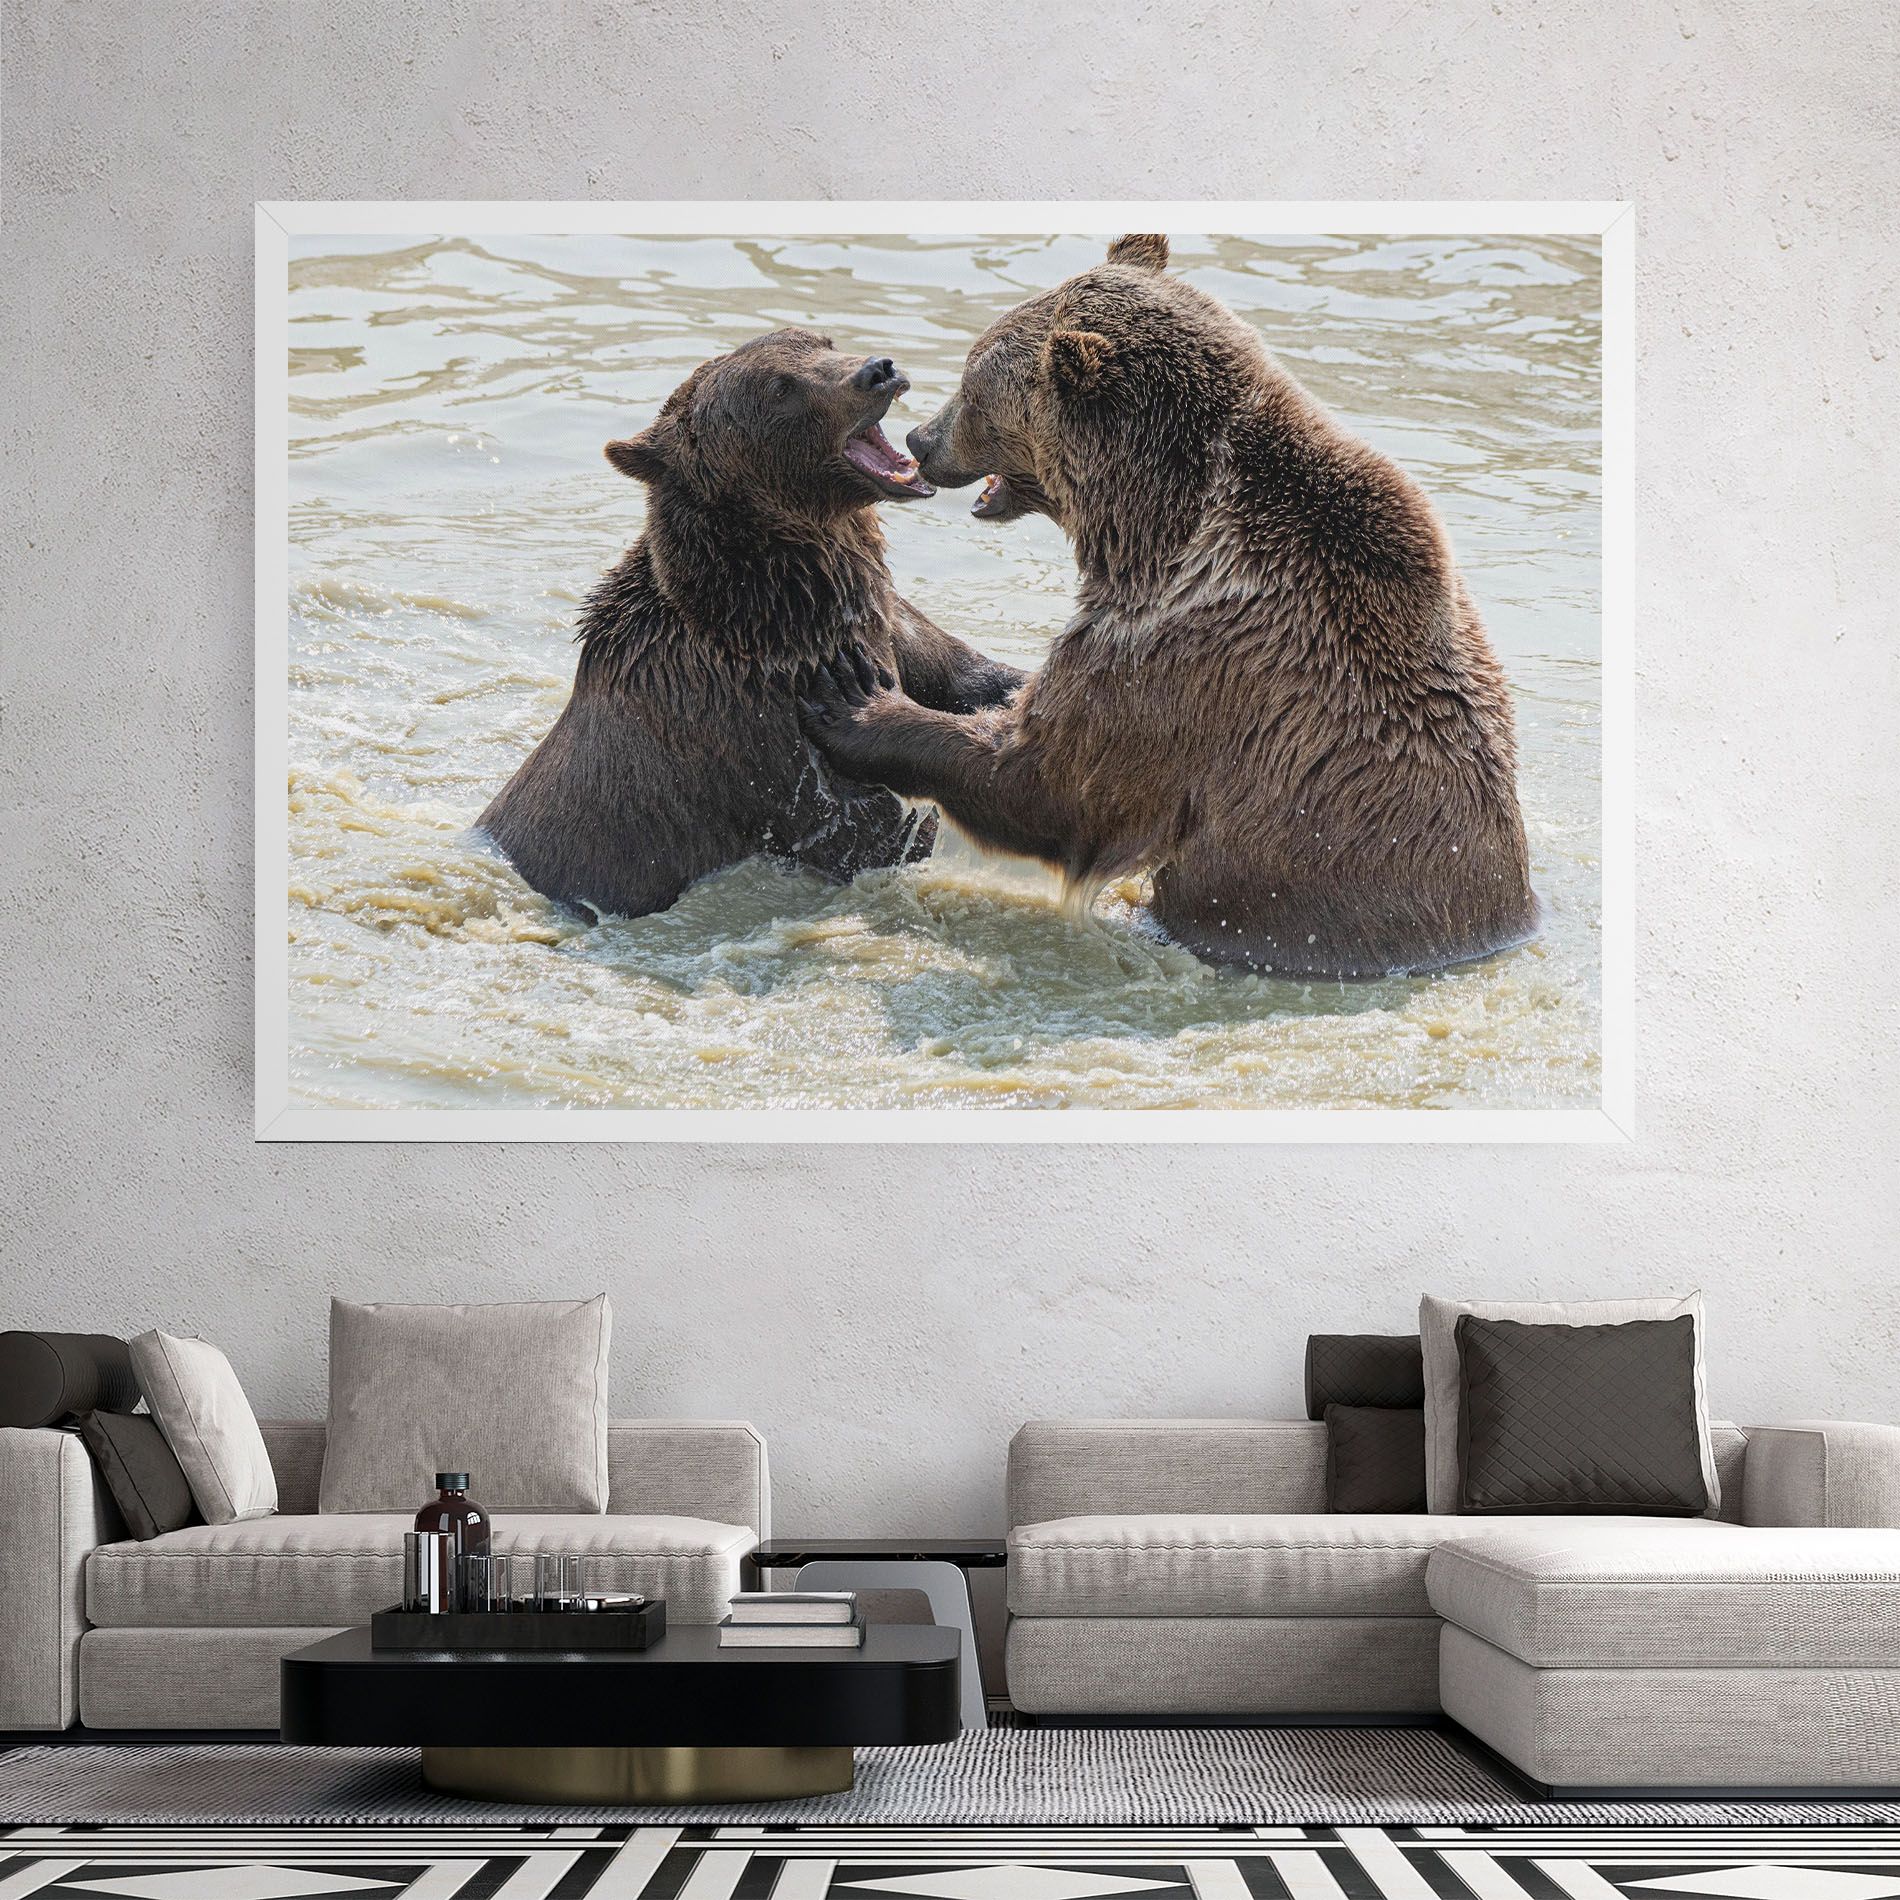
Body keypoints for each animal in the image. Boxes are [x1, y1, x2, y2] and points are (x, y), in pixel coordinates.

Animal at [477, 328, 1025, 922]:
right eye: (780, 388)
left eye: (821, 341)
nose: (878, 370)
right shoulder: (756, 729)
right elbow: (866, 828)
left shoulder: (887, 621)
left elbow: (967, 674)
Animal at [798, 235, 1539, 980]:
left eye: (974, 388)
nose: (922, 440)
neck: (1153, 527)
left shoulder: (1182, 655)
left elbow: (1050, 781)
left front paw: (857, 702)